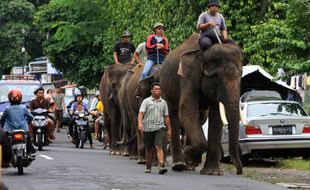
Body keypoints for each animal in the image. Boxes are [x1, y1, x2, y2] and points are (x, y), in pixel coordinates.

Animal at [160, 32, 245, 175]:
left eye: (241, 77)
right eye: (217, 77)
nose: (239, 171)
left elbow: (216, 116)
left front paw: (212, 172)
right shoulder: (188, 76)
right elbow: (186, 108)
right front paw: (188, 153)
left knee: (197, 118)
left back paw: (189, 164)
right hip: (166, 89)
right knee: (173, 115)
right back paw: (179, 165)